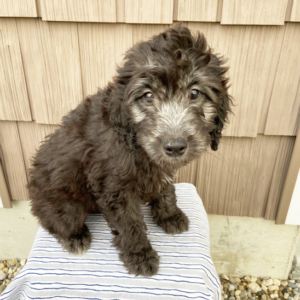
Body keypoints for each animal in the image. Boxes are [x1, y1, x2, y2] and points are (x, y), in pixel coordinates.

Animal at [27, 25, 232, 276]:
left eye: (194, 93)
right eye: (148, 96)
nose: (174, 147)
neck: (133, 140)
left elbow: (165, 190)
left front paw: (169, 215)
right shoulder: (115, 188)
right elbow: (129, 224)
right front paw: (139, 255)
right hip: (65, 206)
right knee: (52, 220)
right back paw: (74, 238)